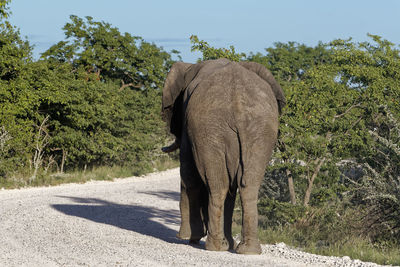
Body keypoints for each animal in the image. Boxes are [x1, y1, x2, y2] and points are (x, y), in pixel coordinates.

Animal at [161, 58, 286, 255]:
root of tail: (238, 104)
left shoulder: (188, 128)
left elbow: (188, 175)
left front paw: (190, 238)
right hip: (257, 130)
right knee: (247, 185)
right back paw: (246, 250)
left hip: (210, 129)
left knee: (218, 185)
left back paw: (215, 247)